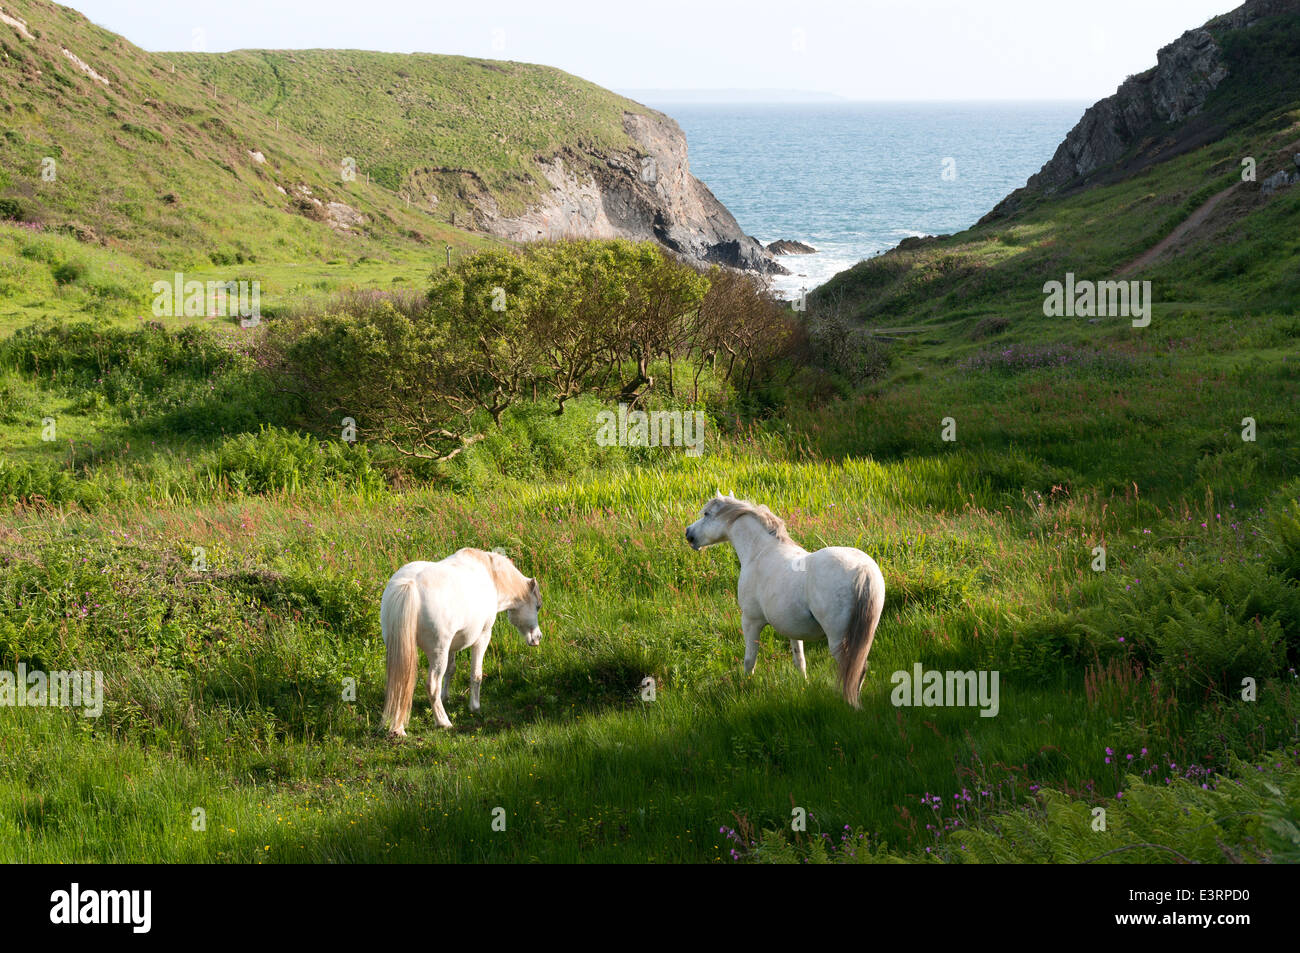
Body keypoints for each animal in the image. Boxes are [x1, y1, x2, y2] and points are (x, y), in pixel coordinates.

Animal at [380, 548, 542, 735]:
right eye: (537, 606)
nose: (538, 637)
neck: (491, 575)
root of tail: (409, 584)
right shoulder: (482, 637)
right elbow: (476, 675)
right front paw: (475, 707)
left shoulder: (452, 646)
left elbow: (450, 671)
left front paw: (446, 698)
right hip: (438, 652)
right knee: (432, 685)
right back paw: (443, 722)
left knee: (400, 683)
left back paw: (398, 728)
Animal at [684, 494, 885, 707]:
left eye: (707, 514)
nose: (689, 533)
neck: (760, 552)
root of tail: (862, 569)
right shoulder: (793, 628)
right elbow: (799, 660)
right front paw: (804, 684)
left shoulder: (750, 621)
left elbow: (750, 660)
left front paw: (745, 687)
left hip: (839, 640)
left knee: (853, 670)